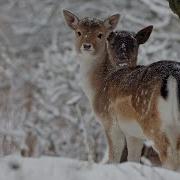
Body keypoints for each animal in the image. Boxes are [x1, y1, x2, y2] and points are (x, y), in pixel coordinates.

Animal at [63, 9, 180, 170]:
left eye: (100, 34)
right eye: (78, 32)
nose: (86, 46)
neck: (98, 87)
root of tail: (173, 76)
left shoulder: (110, 122)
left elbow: (114, 157)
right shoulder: (133, 133)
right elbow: (133, 159)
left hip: (155, 123)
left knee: (168, 156)